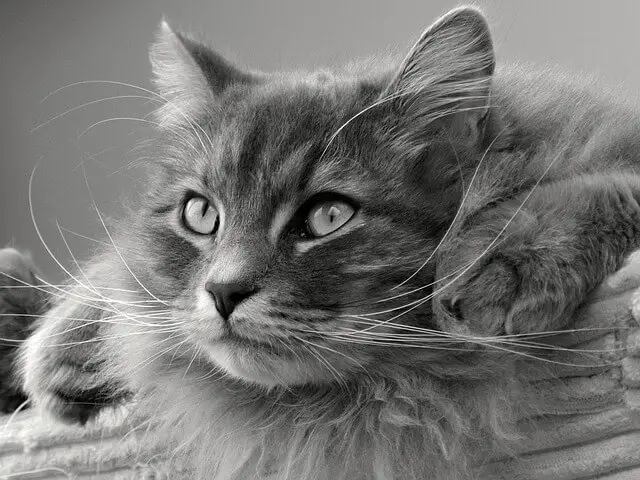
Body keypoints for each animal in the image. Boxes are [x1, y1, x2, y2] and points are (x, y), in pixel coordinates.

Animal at [1, 4, 640, 480]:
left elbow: (605, 188)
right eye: (201, 214)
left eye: (328, 216)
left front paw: (502, 262)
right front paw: (72, 345)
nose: (224, 293)